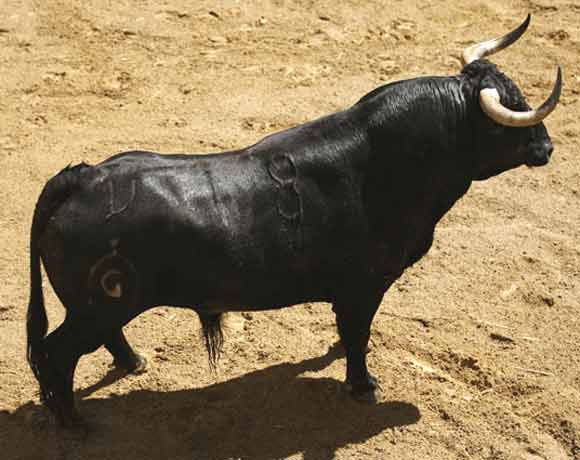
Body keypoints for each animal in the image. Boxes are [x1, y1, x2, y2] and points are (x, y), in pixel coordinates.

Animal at [24, 18, 560, 428]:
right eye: (509, 114)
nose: (547, 148)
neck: (389, 162)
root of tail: (84, 175)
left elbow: (351, 331)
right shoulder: (364, 285)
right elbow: (359, 334)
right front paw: (362, 385)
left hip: (101, 308)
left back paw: (133, 364)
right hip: (95, 306)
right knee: (56, 353)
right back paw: (74, 422)